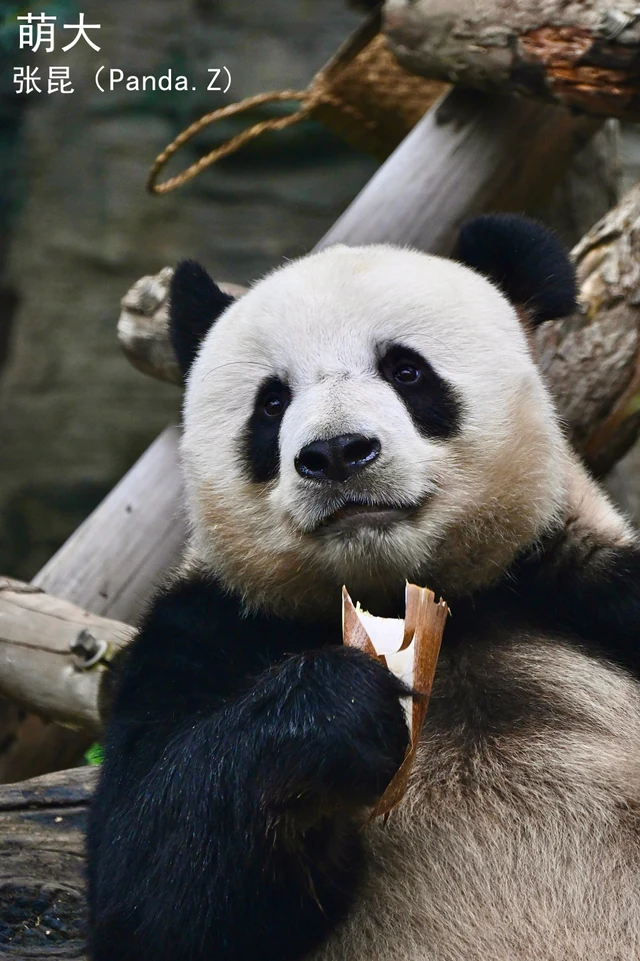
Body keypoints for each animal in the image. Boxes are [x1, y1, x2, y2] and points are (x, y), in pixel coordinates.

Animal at [87, 215, 640, 961]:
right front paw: (336, 711)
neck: (408, 596)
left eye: (405, 369)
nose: (336, 453)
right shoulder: (207, 627)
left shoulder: (584, 589)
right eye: (271, 402)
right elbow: (148, 891)